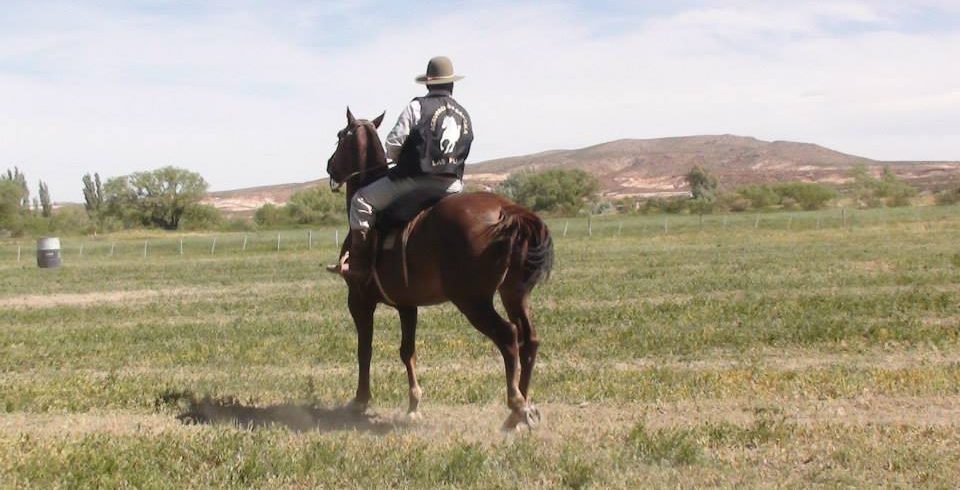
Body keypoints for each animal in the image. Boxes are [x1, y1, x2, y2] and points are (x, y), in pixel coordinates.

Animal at [324, 108, 556, 428]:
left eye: (339, 136)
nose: (330, 167)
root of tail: (508, 210)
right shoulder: (407, 305)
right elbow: (407, 351)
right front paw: (414, 405)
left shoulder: (359, 300)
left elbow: (365, 349)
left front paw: (360, 401)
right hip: (514, 294)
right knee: (529, 339)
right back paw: (521, 410)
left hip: (473, 301)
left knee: (508, 336)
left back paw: (517, 406)